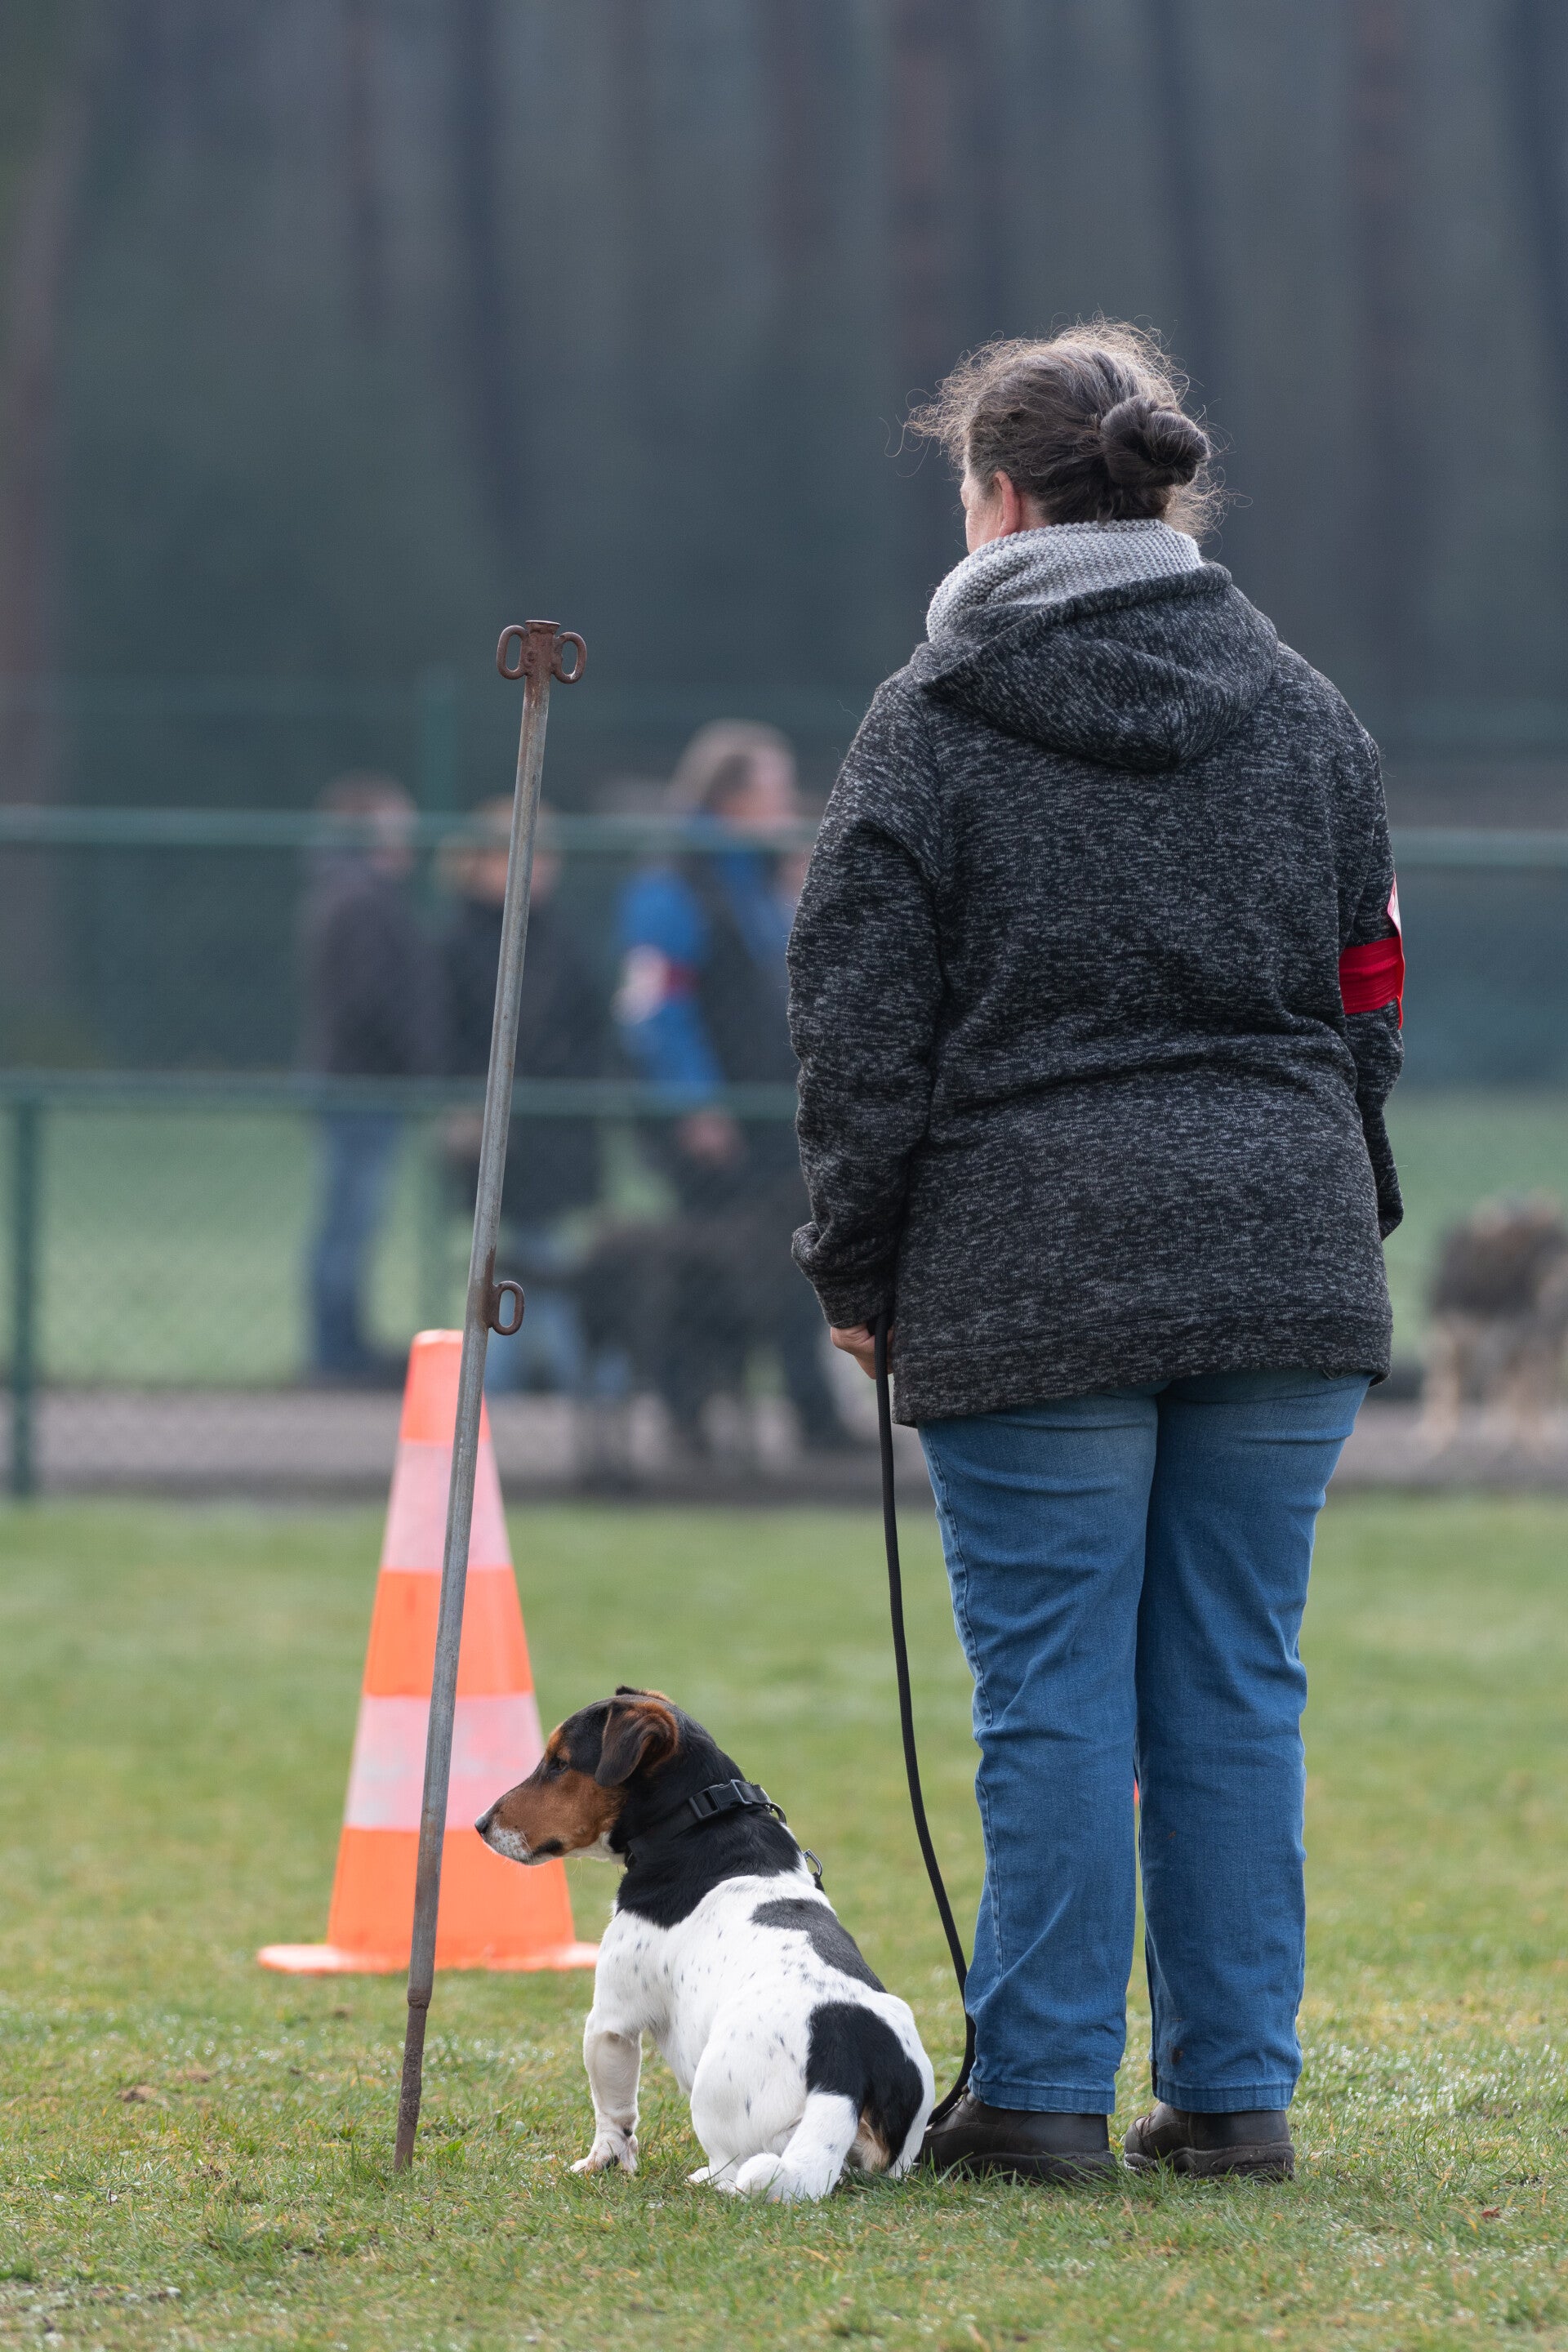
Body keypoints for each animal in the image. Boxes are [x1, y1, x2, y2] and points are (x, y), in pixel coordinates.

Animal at [476, 1686, 934, 2200]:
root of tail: (842, 2065)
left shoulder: (610, 2021)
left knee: (733, 2172)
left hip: (716, 2101)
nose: (479, 1824)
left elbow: (613, 2115)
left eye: (559, 1763)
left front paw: (601, 2164)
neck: (701, 1819)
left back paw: (705, 2180)